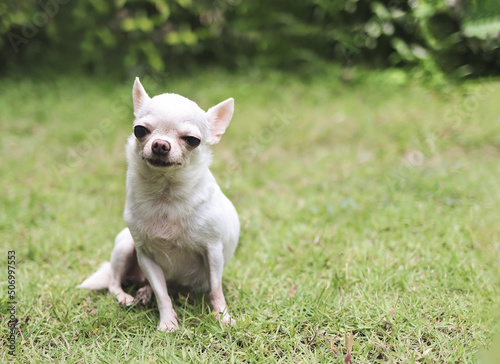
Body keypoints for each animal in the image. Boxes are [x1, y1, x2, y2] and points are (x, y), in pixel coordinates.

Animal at [78, 77, 240, 332]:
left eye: (192, 140)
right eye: (140, 130)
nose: (160, 145)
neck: (165, 195)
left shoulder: (213, 252)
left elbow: (216, 289)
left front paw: (222, 316)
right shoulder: (146, 256)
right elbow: (162, 293)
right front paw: (167, 323)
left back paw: (144, 293)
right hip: (125, 245)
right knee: (114, 282)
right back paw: (128, 296)